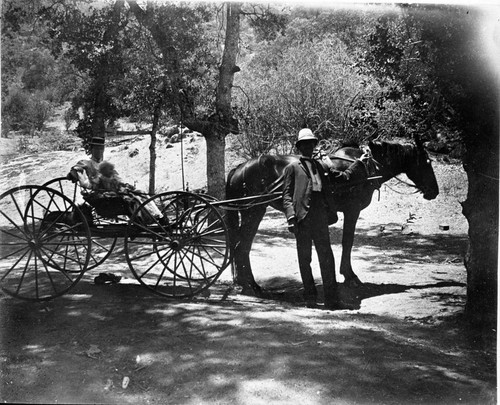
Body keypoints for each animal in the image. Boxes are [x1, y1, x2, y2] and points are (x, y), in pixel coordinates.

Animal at [225, 136, 440, 296]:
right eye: (427, 163)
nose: (434, 191)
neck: (366, 166)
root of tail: (239, 168)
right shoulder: (352, 210)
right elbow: (348, 241)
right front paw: (350, 276)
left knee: (240, 247)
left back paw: (244, 282)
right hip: (253, 212)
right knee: (242, 247)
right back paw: (251, 285)